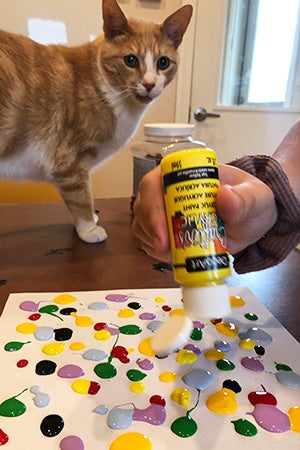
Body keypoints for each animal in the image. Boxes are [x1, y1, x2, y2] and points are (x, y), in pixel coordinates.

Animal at [0, 0, 192, 243]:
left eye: (163, 62)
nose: (149, 84)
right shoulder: (69, 161)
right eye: (130, 60)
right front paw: (89, 228)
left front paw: (90, 219)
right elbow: (81, 196)